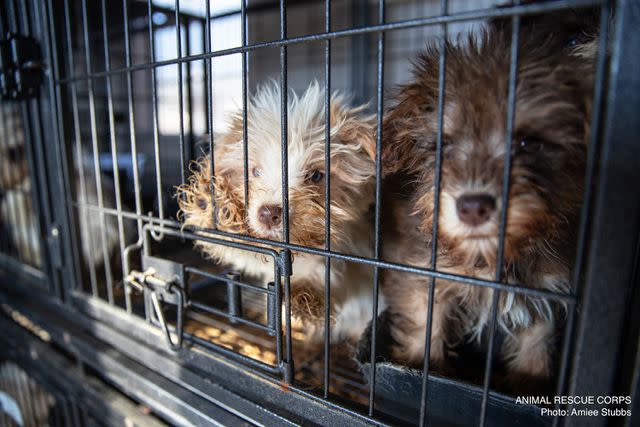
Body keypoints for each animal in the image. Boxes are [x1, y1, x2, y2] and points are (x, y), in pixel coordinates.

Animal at [178, 83, 382, 344]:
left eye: (316, 175)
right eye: (255, 171)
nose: (268, 213)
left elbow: (332, 271)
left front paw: (304, 292)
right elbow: (240, 247)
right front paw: (213, 206)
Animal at [380, 29, 596, 382]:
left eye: (528, 142)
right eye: (444, 144)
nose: (473, 207)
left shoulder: (544, 293)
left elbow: (535, 349)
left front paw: (528, 383)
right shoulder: (423, 278)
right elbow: (424, 332)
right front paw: (419, 364)